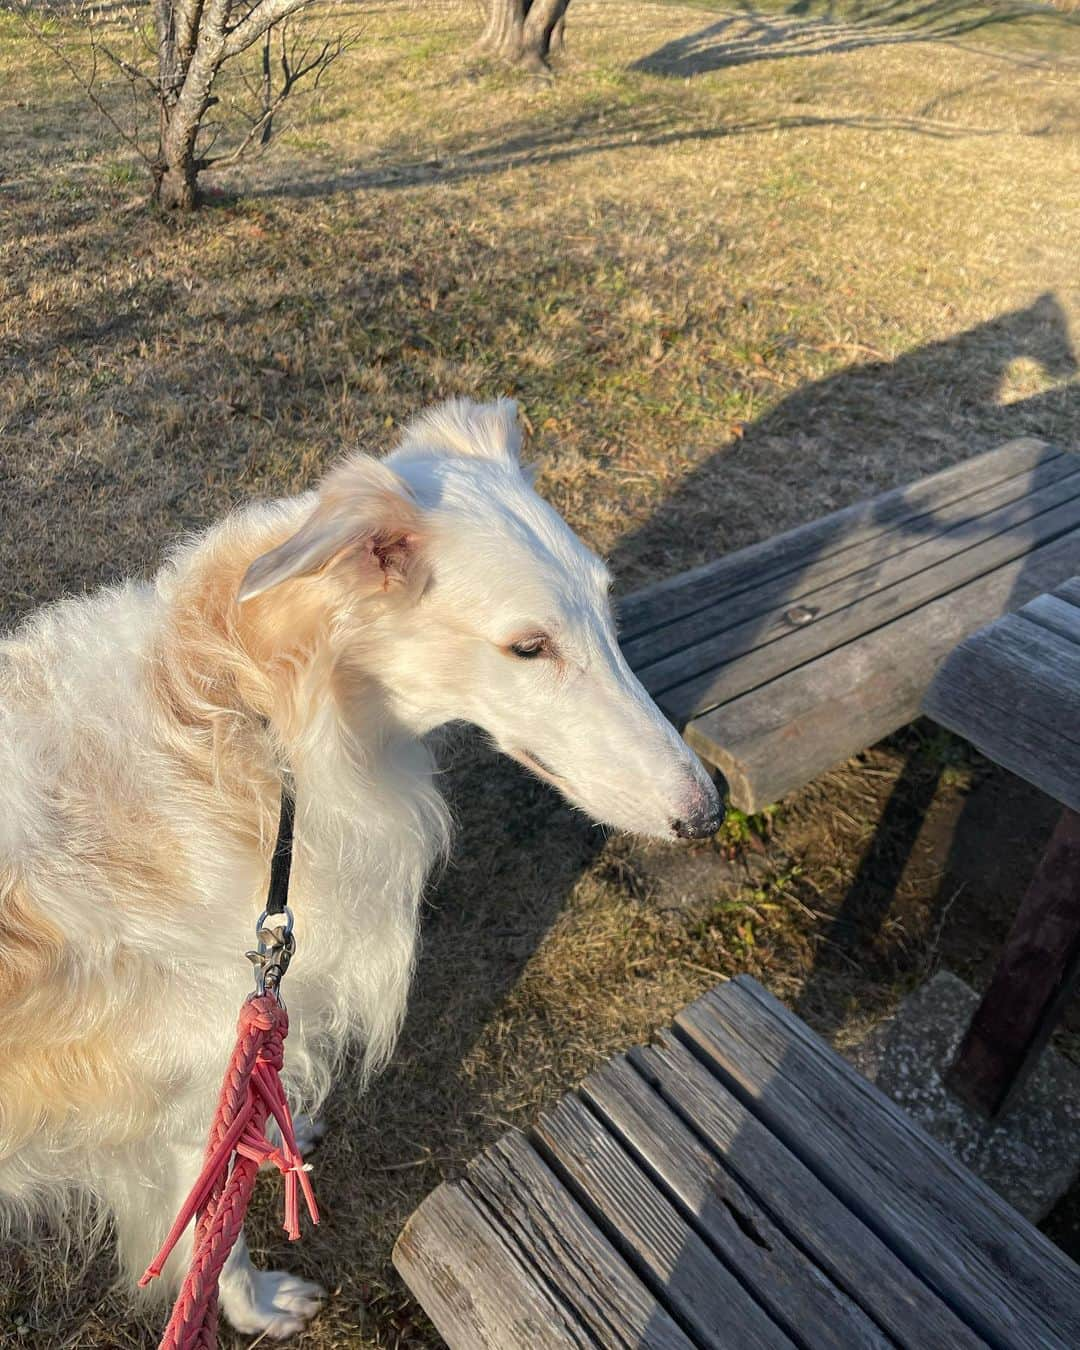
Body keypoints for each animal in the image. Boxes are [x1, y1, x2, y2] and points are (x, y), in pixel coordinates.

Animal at [2, 396, 723, 1339]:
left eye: (607, 610)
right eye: (529, 647)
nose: (707, 810)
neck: (257, 718)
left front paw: (282, 1136)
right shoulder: (185, 1096)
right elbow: (212, 1238)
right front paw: (258, 1304)